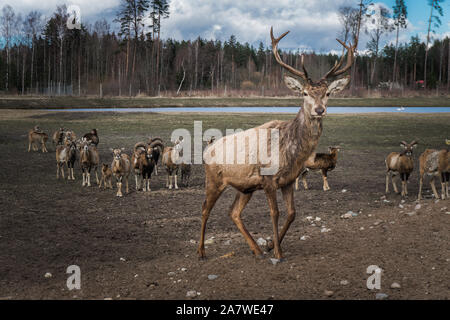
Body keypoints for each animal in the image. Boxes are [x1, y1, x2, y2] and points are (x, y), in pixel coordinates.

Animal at [197, 26, 356, 260]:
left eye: (327, 93)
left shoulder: (288, 180)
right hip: (214, 180)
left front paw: (272, 245)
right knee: (205, 208)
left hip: (245, 188)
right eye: (305, 93)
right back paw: (201, 251)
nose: (319, 110)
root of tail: (207, 150)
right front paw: (278, 253)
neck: (290, 153)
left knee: (233, 212)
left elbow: (292, 213)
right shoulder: (269, 179)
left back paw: (256, 249)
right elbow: (275, 212)